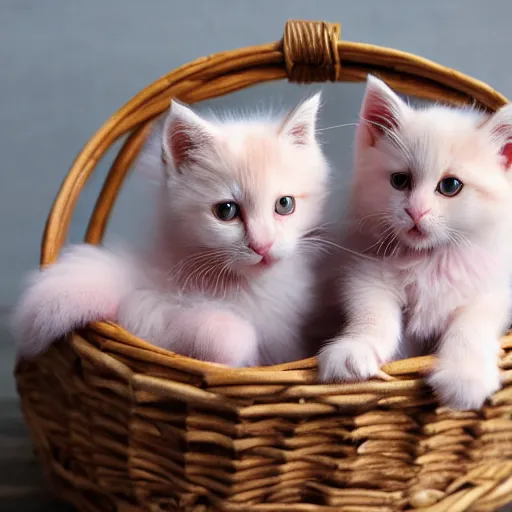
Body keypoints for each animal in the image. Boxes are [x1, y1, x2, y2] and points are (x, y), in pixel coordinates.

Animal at [15, 94, 332, 366]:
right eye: (226, 211)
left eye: (285, 204)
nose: (262, 246)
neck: (247, 288)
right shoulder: (146, 307)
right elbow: (214, 332)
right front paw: (235, 346)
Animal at [318, 76, 512, 410]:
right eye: (400, 181)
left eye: (450, 186)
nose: (415, 211)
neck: (430, 259)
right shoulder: (364, 272)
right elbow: (372, 313)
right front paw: (354, 349)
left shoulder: (492, 288)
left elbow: (471, 327)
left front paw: (465, 377)